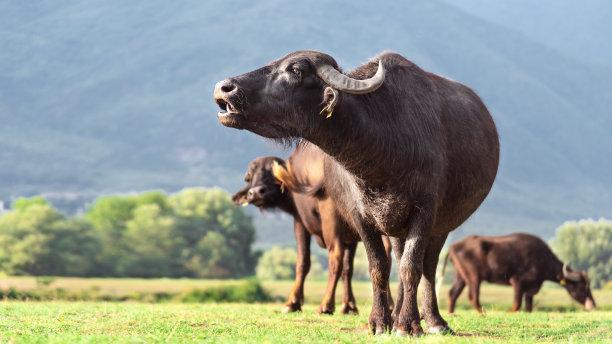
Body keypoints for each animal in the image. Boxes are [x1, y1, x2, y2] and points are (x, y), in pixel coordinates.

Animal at [232, 142, 394, 314]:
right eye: (249, 177)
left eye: (272, 176)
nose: (255, 192)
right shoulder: (352, 237)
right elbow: (348, 269)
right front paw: (348, 305)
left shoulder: (299, 222)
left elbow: (303, 262)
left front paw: (292, 302)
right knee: (387, 256)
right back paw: (390, 305)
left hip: (329, 214)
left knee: (335, 256)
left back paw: (326, 304)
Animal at [442, 232, 596, 314]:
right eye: (581, 287)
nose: (593, 305)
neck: (541, 258)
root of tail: (453, 246)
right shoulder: (517, 282)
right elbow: (516, 304)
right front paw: (510, 312)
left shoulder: (531, 288)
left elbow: (528, 307)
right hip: (474, 276)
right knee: (473, 296)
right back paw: (483, 313)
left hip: (460, 276)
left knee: (453, 293)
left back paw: (451, 313)